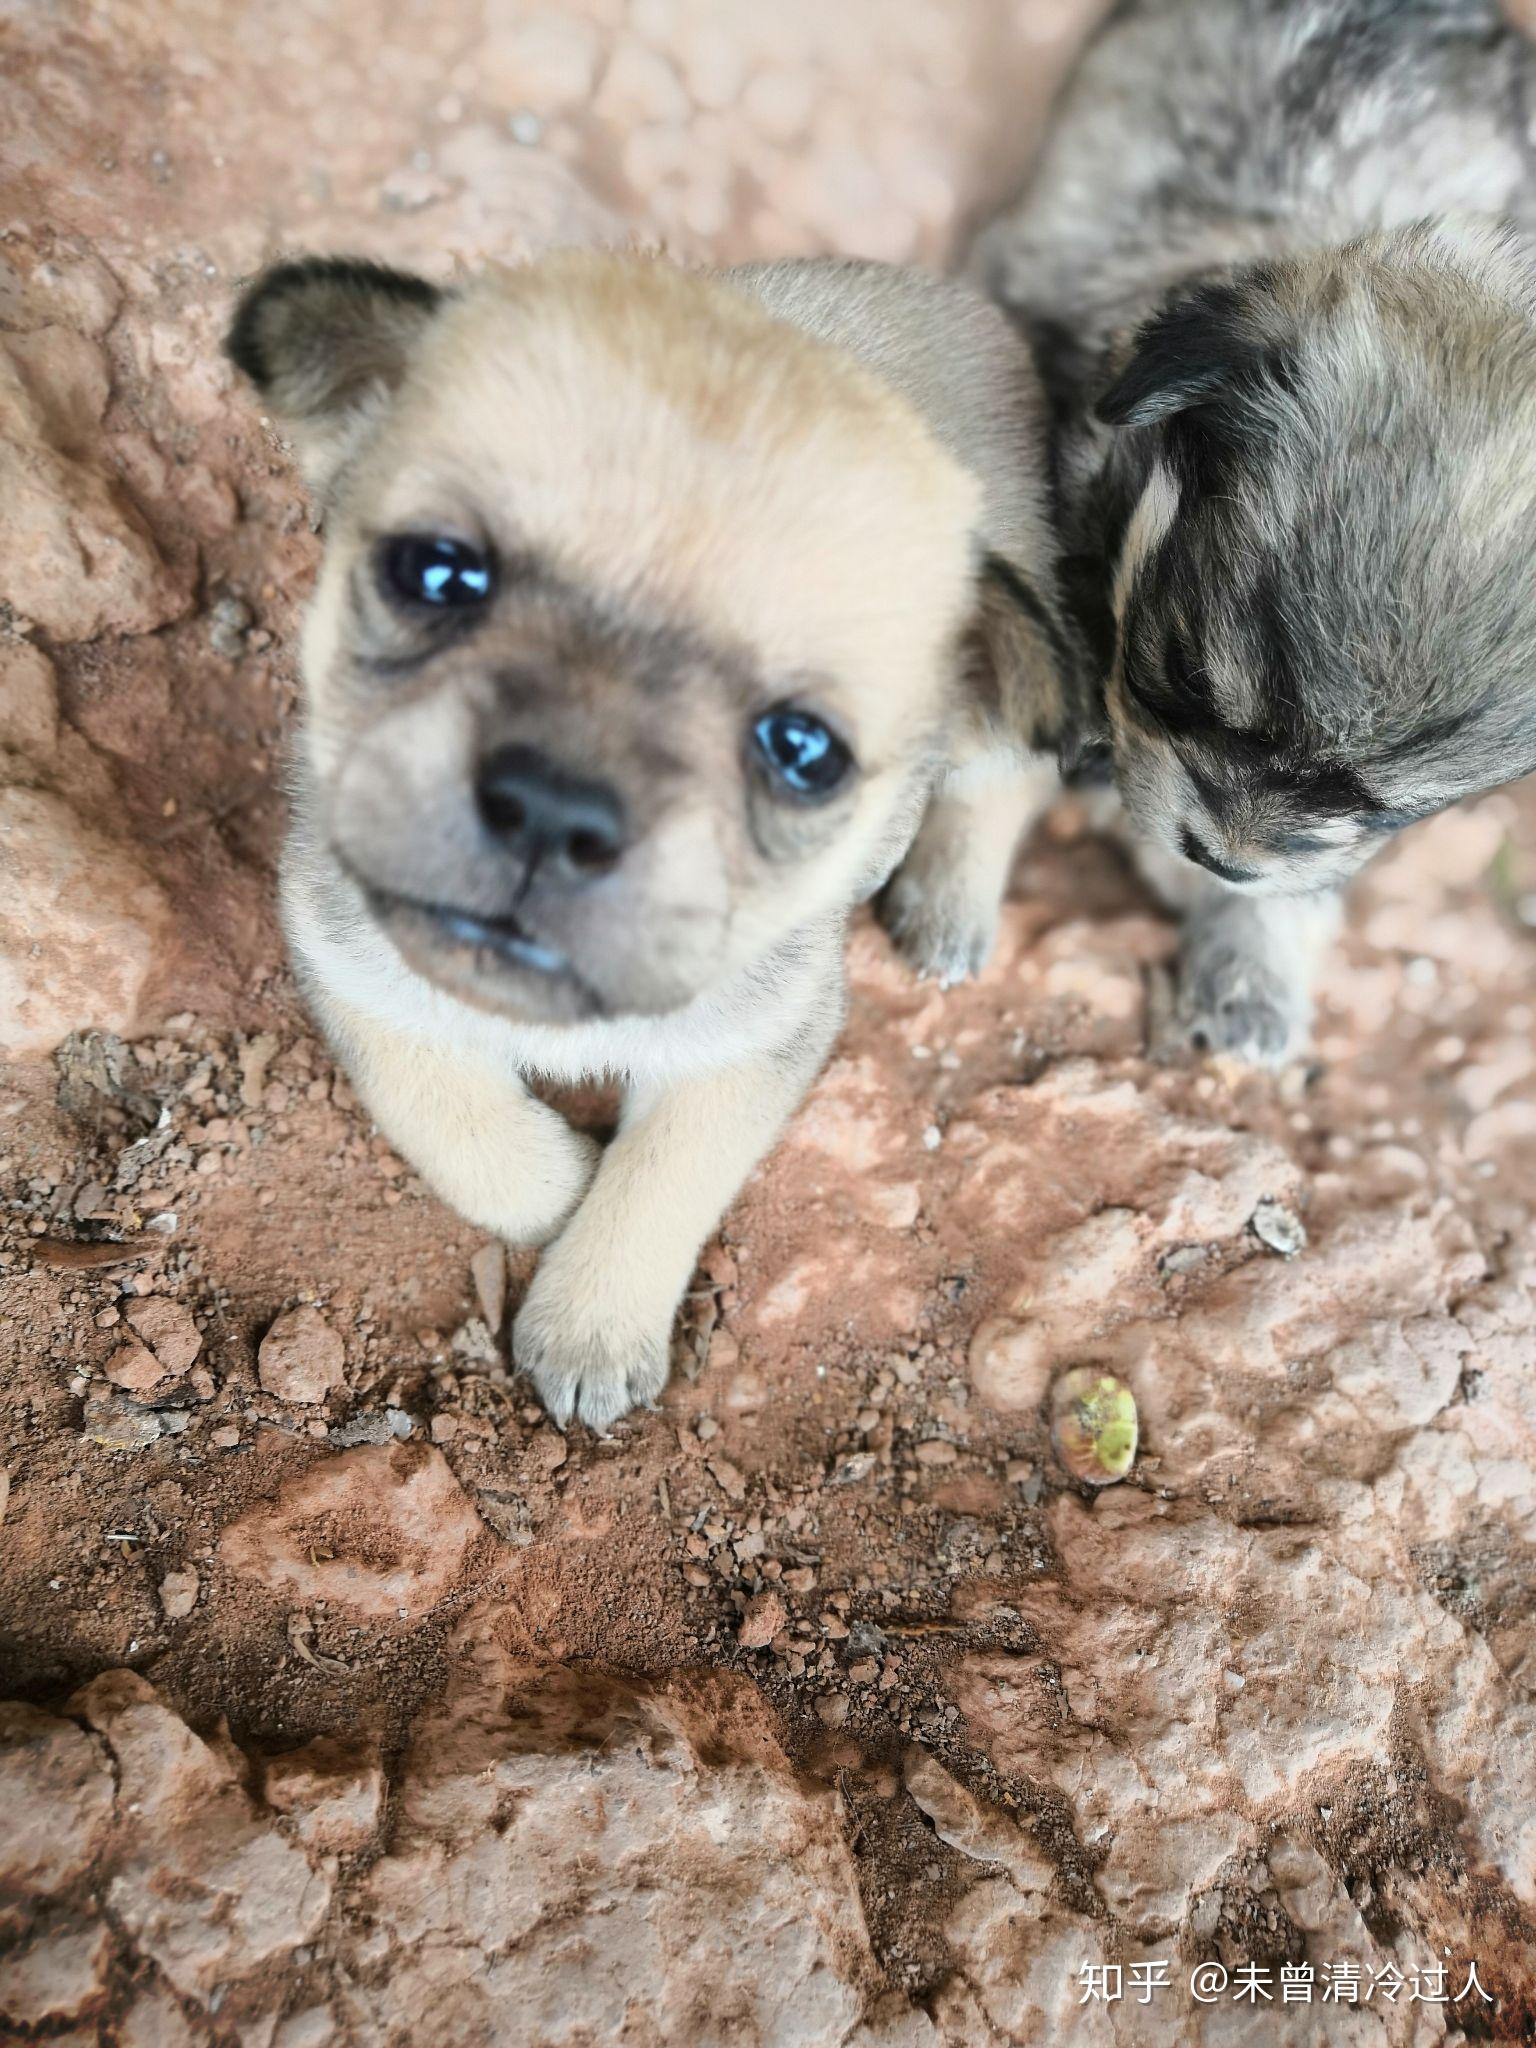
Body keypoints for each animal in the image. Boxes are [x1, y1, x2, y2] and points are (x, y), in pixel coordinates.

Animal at [231, 251, 1073, 1425]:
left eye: (802, 750)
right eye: (438, 573)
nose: (553, 808)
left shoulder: (754, 1043)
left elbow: (663, 1175)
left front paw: (592, 1319)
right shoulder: (345, 954)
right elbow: (450, 1116)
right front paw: (556, 1184)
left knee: (1014, 770)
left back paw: (950, 901)